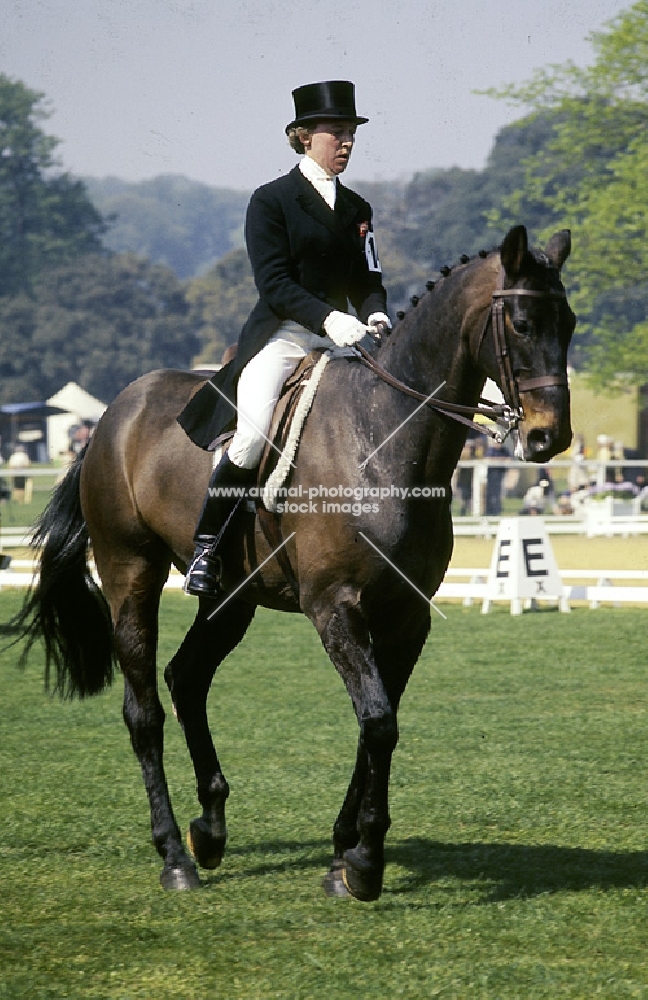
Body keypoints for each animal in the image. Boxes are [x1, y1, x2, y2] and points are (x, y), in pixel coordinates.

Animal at [7, 225, 576, 900]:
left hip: (232, 597)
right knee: (143, 710)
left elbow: (378, 721)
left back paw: (210, 830)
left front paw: (343, 857)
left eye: (569, 324)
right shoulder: (335, 607)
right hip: (130, 572)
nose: (549, 438)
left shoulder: (407, 616)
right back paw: (175, 856)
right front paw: (364, 863)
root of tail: (110, 417)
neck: (383, 437)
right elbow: (378, 721)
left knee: (186, 678)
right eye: (522, 323)